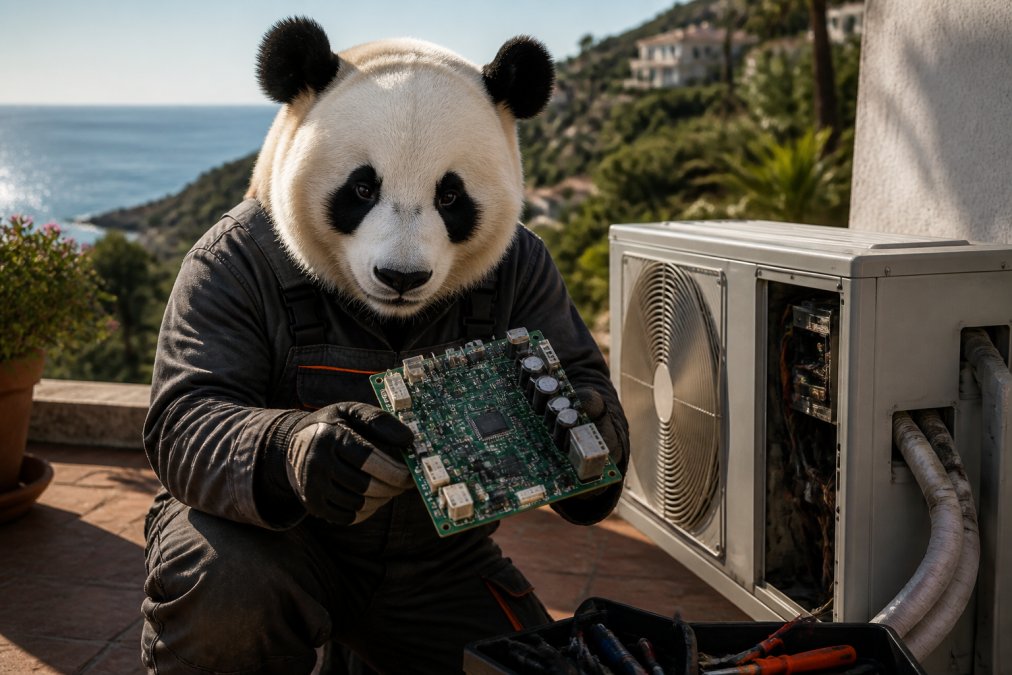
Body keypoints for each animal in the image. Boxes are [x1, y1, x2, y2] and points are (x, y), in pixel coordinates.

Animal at [141, 16, 628, 674]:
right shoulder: (224, 262)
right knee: (228, 583)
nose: (401, 276)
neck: (390, 325)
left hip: (450, 585)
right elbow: (192, 404)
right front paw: (329, 449)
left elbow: (581, 366)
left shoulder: (533, 263)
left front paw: (589, 416)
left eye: (451, 196)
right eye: (362, 188)